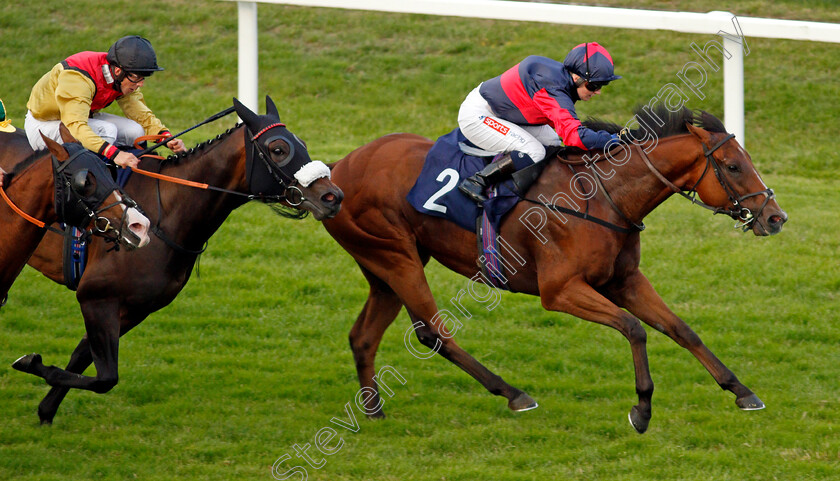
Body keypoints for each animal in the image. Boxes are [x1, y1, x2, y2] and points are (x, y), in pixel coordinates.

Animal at [322, 107, 788, 434]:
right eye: (733, 166)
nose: (775, 218)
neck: (603, 196)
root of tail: (337, 169)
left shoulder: (624, 281)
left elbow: (680, 329)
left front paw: (742, 391)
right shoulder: (560, 290)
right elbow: (634, 328)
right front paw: (641, 409)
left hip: (384, 265)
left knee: (363, 337)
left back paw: (374, 410)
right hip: (396, 257)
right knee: (432, 333)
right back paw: (513, 394)